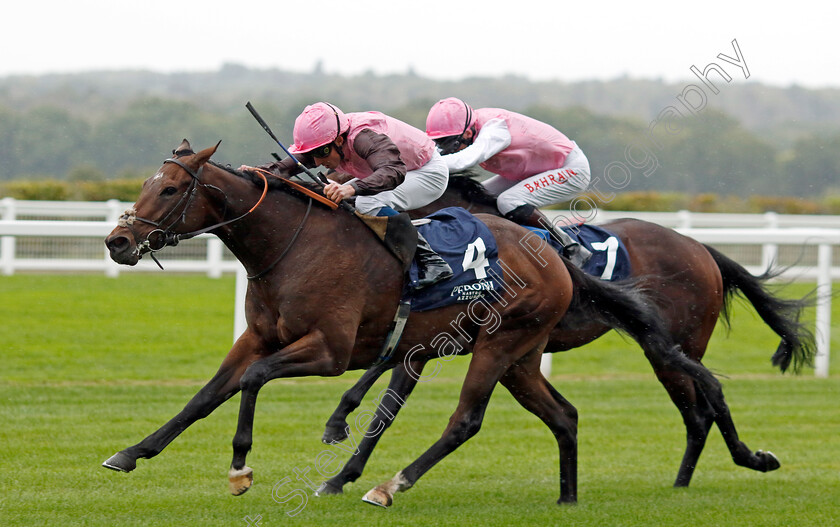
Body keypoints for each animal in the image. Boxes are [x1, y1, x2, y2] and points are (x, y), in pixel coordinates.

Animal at [101, 141, 724, 508]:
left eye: (171, 188)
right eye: (145, 184)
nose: (118, 242)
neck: (292, 246)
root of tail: (555, 259)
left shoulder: (330, 351)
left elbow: (258, 382)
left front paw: (241, 466)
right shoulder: (261, 337)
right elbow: (206, 395)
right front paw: (132, 452)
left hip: (503, 346)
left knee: (467, 420)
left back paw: (389, 485)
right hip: (523, 357)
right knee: (565, 415)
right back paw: (567, 498)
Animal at [316, 175, 812, 498]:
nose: (342, 201)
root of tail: (701, 248)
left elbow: (378, 383)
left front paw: (341, 431)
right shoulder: (424, 337)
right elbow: (383, 409)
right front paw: (341, 473)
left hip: (674, 347)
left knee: (704, 406)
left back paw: (735, 463)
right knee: (698, 411)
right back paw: (683, 482)